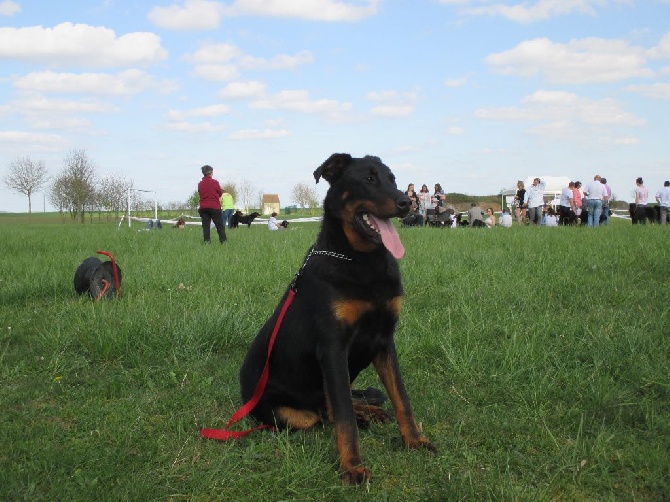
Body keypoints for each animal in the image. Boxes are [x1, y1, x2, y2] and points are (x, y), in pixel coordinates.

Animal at [240, 154, 436, 486]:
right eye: (368, 179)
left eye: (393, 179)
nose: (406, 203)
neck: (360, 259)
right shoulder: (333, 348)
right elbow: (342, 415)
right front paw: (352, 467)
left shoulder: (384, 341)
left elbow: (401, 398)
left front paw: (414, 440)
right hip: (287, 412)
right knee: (322, 412)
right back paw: (362, 416)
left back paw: (370, 411)